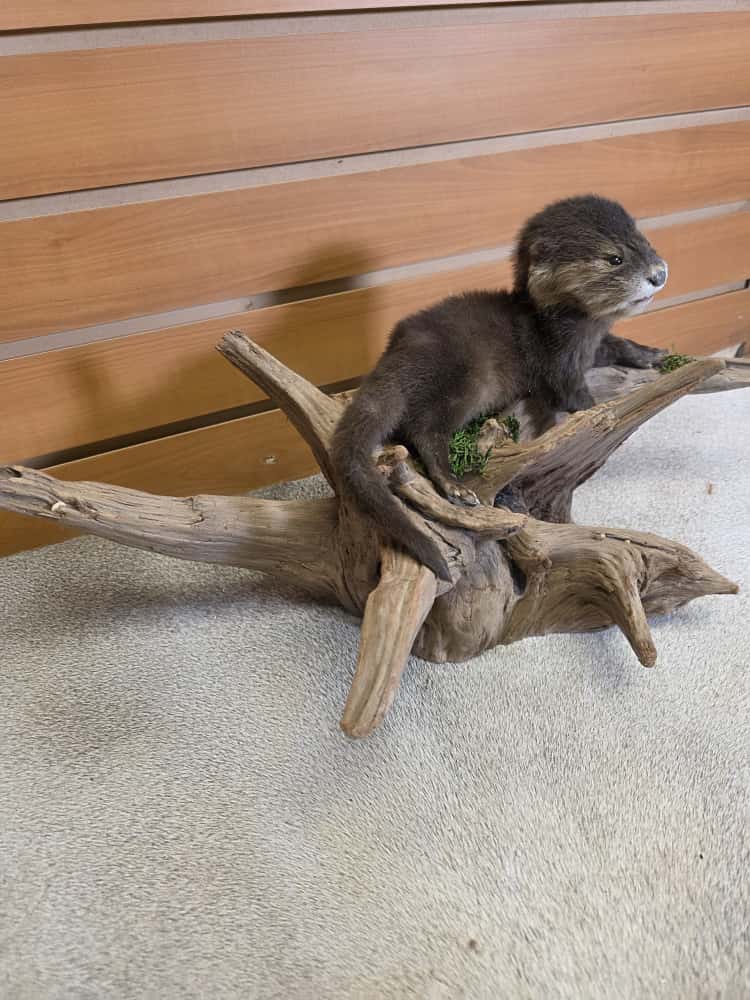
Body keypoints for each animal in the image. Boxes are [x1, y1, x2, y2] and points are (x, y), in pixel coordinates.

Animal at [331, 195, 668, 582]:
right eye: (614, 257)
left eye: (644, 241)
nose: (659, 273)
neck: (570, 330)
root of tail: (398, 353)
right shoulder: (557, 361)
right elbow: (572, 395)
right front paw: (602, 410)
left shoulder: (591, 347)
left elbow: (618, 344)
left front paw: (652, 354)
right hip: (464, 382)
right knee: (424, 430)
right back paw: (455, 486)